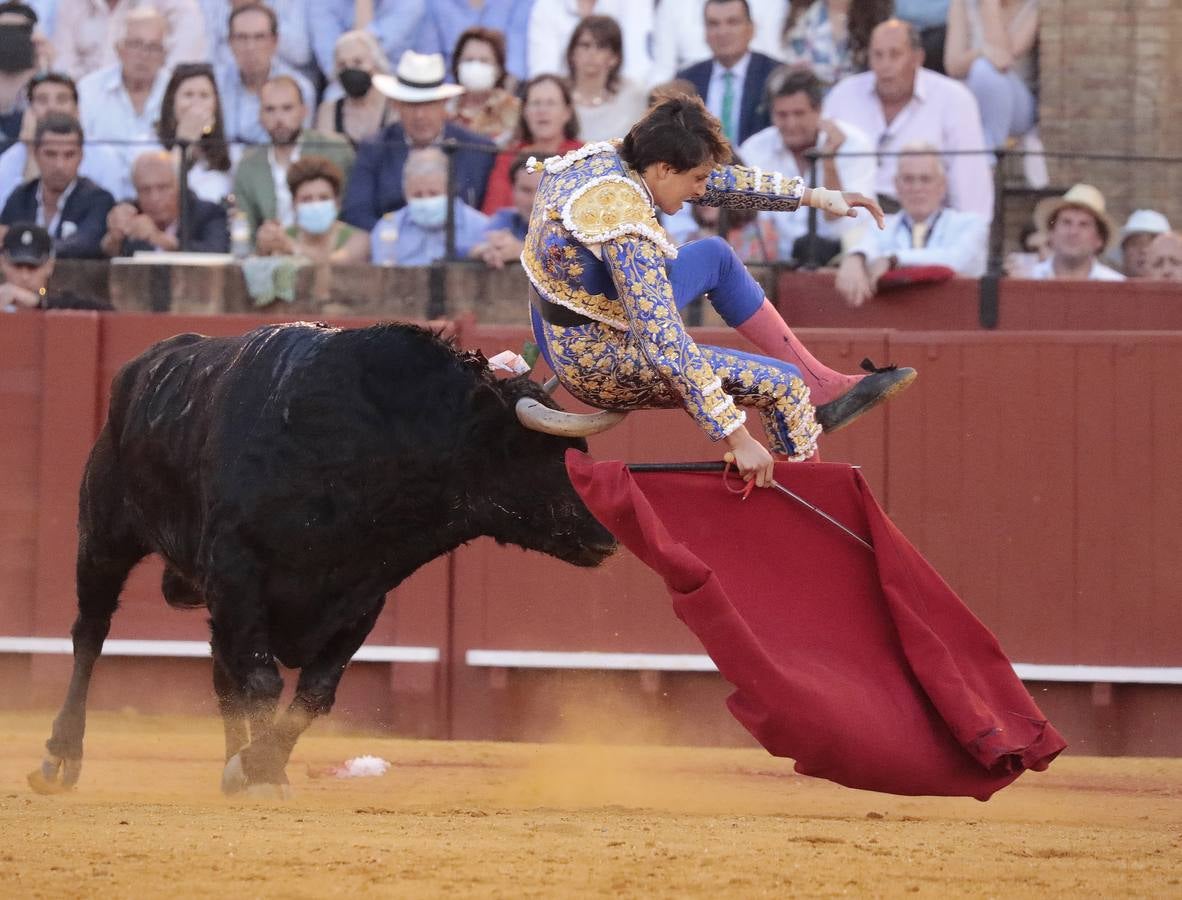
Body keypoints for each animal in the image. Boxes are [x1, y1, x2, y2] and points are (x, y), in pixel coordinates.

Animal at [29, 321, 619, 794]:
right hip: (104, 537)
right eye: (538, 452)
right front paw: (257, 772)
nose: (609, 537)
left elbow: (313, 692)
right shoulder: (239, 573)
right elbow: (264, 681)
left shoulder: (361, 595)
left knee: (220, 673)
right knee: (90, 635)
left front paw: (259, 766)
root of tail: (143, 366)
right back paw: (61, 757)